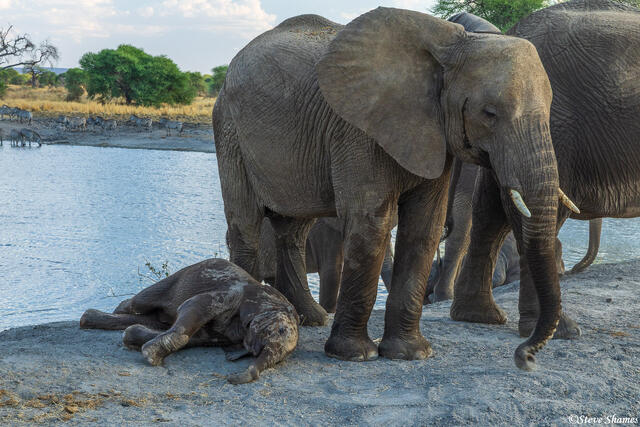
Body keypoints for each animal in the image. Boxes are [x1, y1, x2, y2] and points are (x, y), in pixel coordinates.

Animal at [80, 258, 299, 385]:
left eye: (284, 357)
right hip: (177, 277)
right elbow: (193, 306)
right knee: (137, 302)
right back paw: (91, 317)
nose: (230, 378)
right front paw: (151, 356)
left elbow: (197, 336)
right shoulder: (232, 293)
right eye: (277, 331)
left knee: (155, 320)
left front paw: (135, 339)